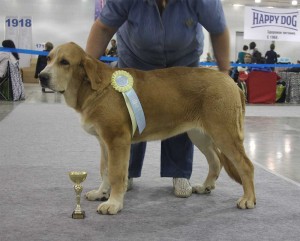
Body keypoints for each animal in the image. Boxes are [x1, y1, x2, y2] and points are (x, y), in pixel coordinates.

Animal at [39, 42, 255, 215]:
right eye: (49, 59)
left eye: (64, 62)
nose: (42, 76)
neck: (92, 87)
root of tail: (231, 82)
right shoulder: (104, 143)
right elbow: (105, 170)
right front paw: (101, 193)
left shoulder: (117, 141)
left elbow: (116, 174)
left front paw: (113, 203)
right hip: (200, 135)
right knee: (216, 161)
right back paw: (205, 187)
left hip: (224, 133)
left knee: (246, 165)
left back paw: (248, 199)